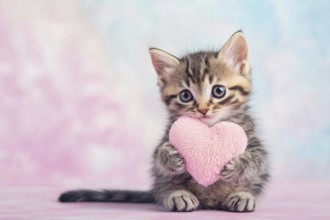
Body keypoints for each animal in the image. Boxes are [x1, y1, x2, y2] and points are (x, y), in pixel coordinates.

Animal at [60, 30, 270, 211]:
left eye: (219, 91)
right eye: (185, 96)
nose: (203, 110)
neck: (208, 127)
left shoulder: (252, 140)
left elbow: (257, 159)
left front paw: (238, 164)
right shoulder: (167, 137)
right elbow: (157, 155)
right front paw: (169, 156)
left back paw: (242, 195)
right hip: (162, 181)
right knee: (165, 187)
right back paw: (178, 195)